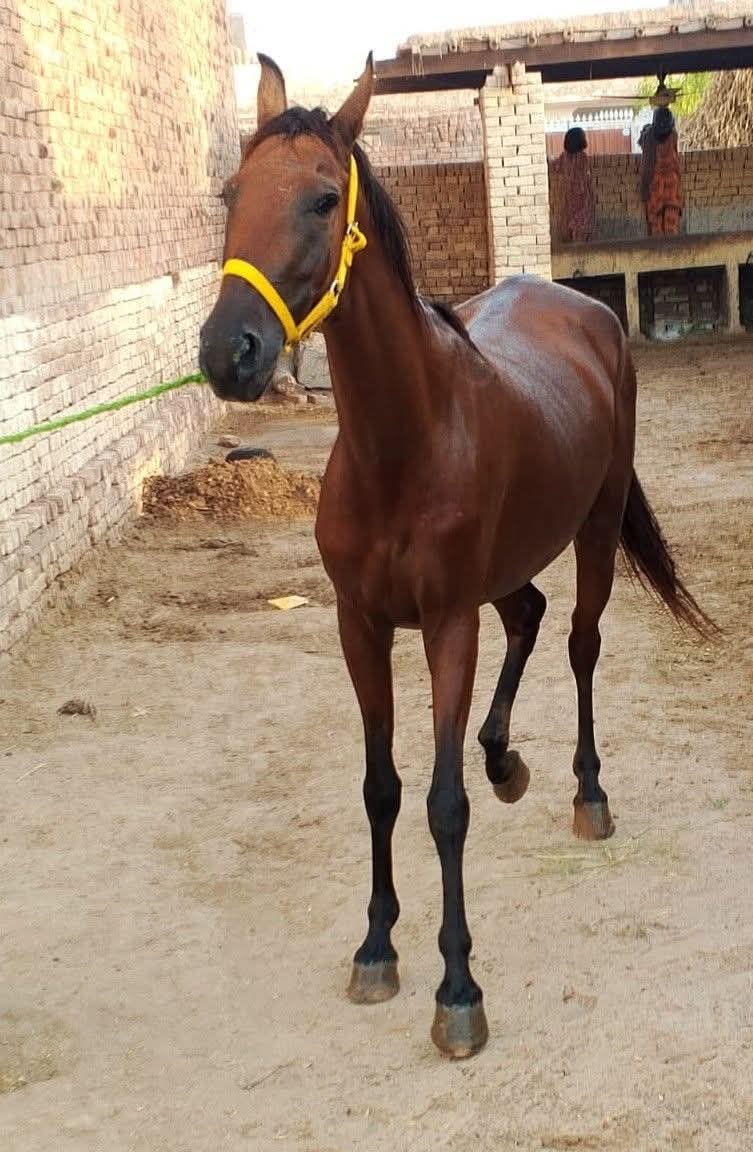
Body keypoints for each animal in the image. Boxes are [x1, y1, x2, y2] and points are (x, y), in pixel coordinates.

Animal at [199, 54, 712, 1058]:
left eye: (323, 197)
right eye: (233, 193)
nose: (227, 352)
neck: (402, 443)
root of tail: (583, 309)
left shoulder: (444, 627)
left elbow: (442, 804)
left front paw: (458, 989)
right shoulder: (361, 628)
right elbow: (380, 788)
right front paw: (375, 948)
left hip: (592, 531)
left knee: (577, 643)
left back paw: (586, 793)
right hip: (504, 570)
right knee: (529, 617)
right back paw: (505, 758)